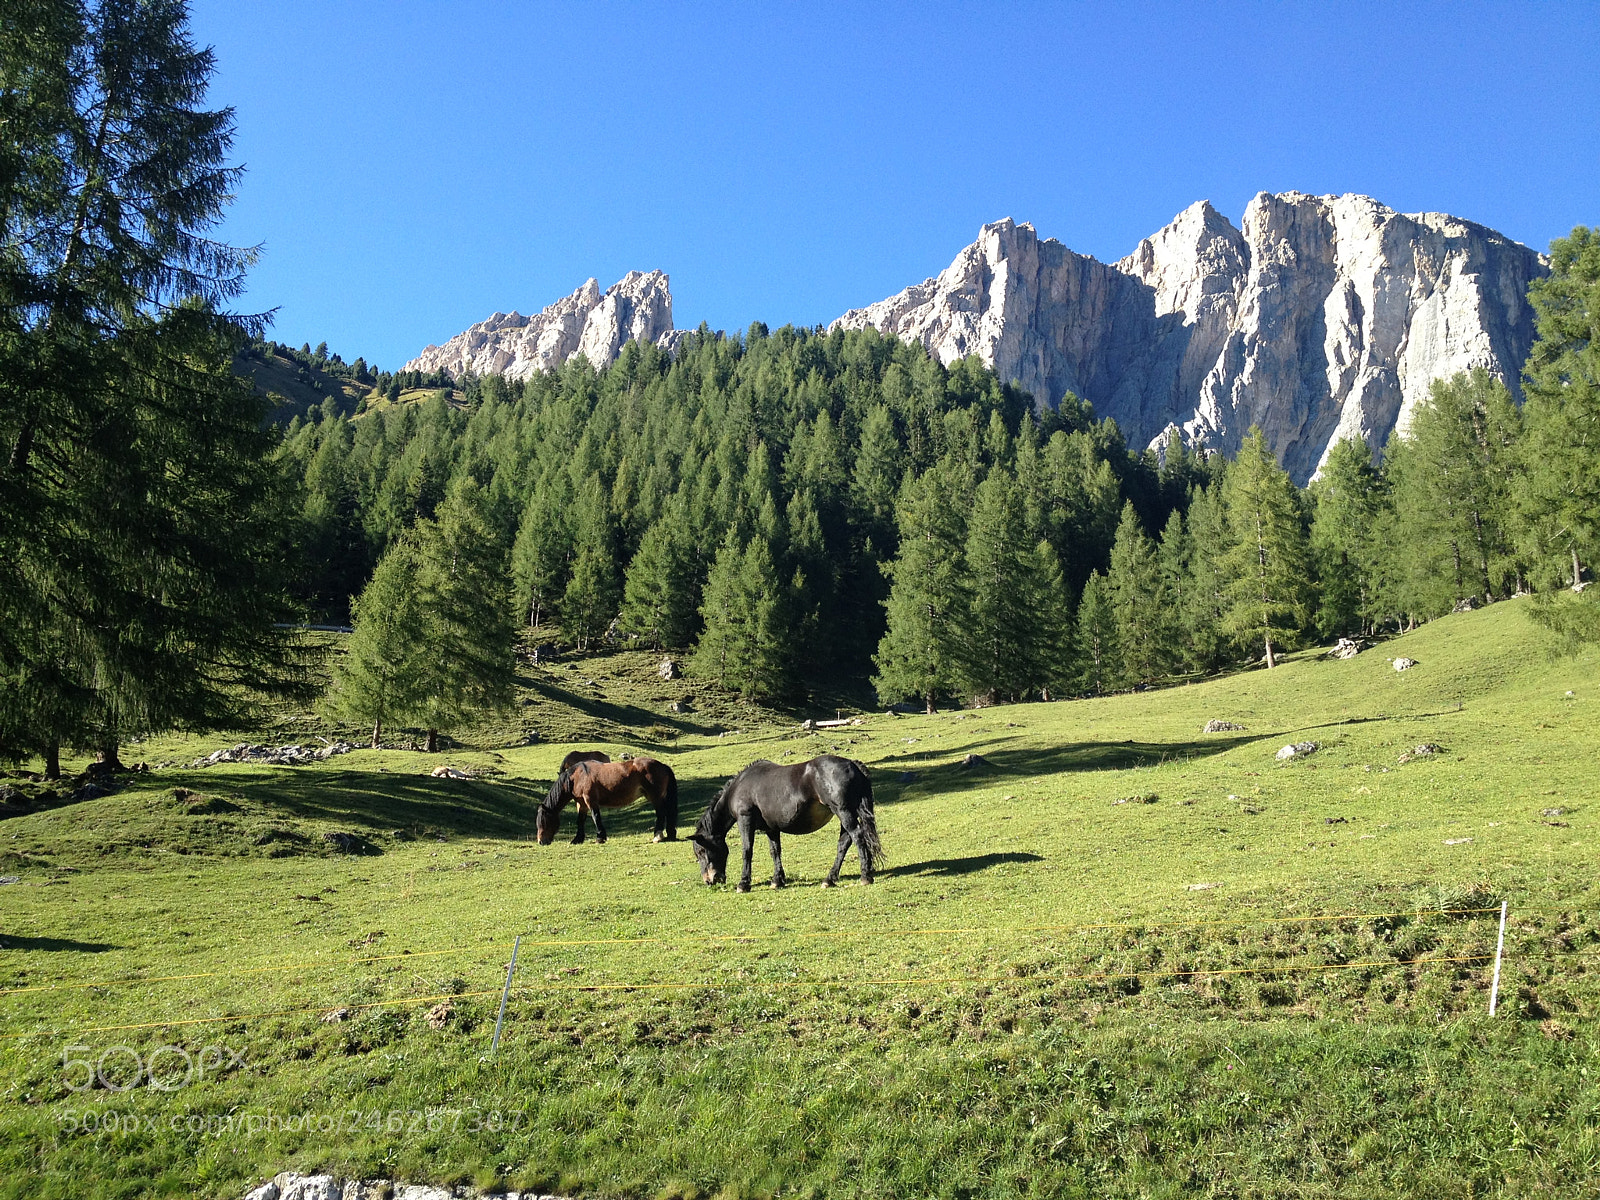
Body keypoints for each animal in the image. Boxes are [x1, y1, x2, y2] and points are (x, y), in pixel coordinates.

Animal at [536, 754, 678, 845]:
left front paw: (600, 838)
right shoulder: (581, 803)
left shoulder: (590, 800)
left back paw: (657, 837)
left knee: (661, 813)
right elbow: (580, 820)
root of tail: (662, 766)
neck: (578, 777)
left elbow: (596, 817)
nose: (541, 842)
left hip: (655, 797)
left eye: (544, 821)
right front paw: (577, 839)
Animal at [690, 755, 884, 891]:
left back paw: (865, 876)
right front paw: (777, 880)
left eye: (701, 851)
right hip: (845, 814)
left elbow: (747, 851)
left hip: (843, 812)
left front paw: (743, 883)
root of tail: (854, 765)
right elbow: (775, 851)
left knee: (857, 836)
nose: (709, 880)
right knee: (844, 842)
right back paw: (829, 879)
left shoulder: (745, 819)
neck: (739, 788)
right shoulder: (771, 828)